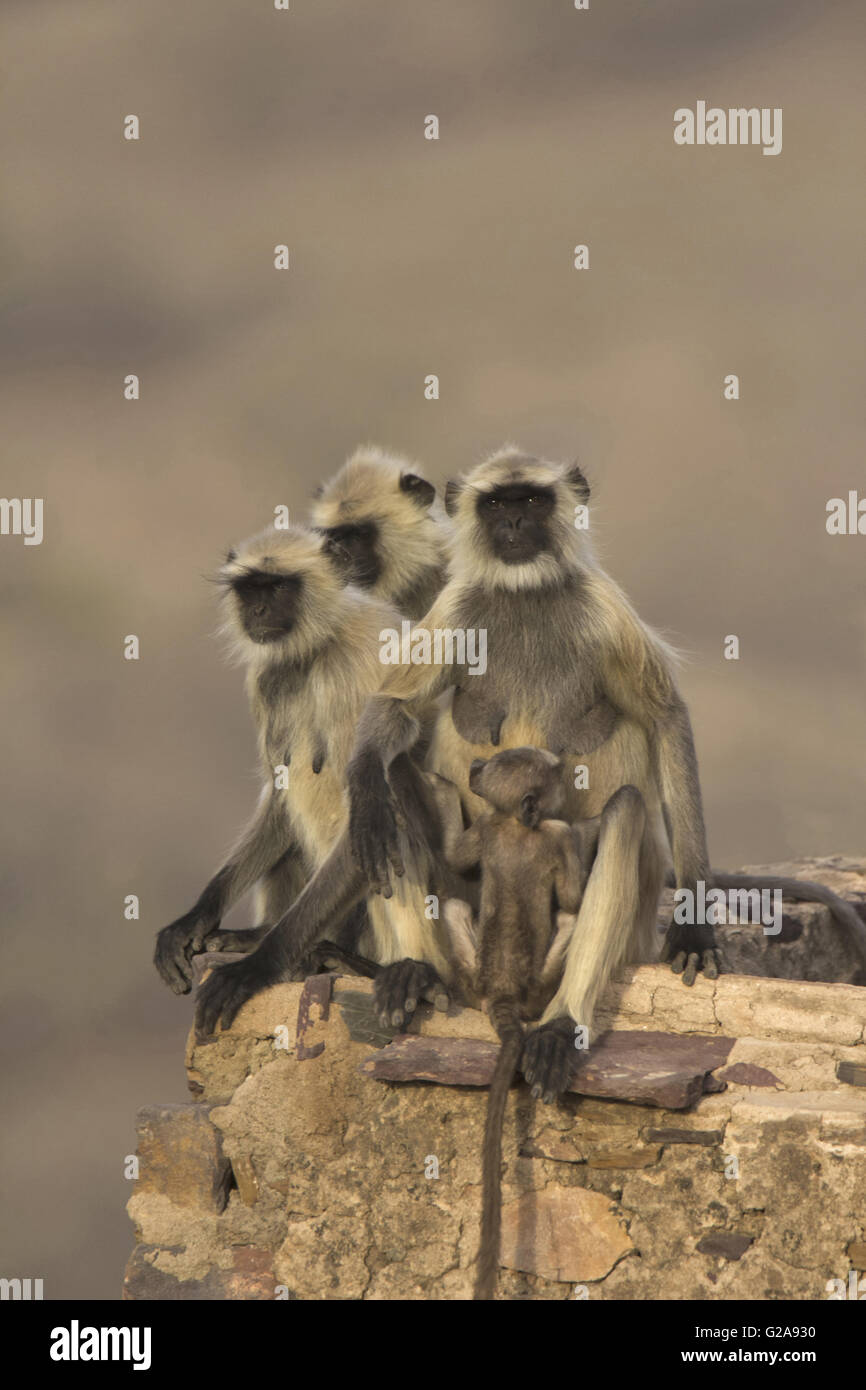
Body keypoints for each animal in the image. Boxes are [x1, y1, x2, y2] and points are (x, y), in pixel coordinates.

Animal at [444, 750, 600, 1301]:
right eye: (552, 770)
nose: (473, 767)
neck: (515, 822)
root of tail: (503, 992)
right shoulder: (552, 831)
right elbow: (572, 897)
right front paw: (592, 828)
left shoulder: (488, 825)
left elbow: (457, 858)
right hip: (539, 988)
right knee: (572, 920)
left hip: (473, 977)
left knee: (452, 905)